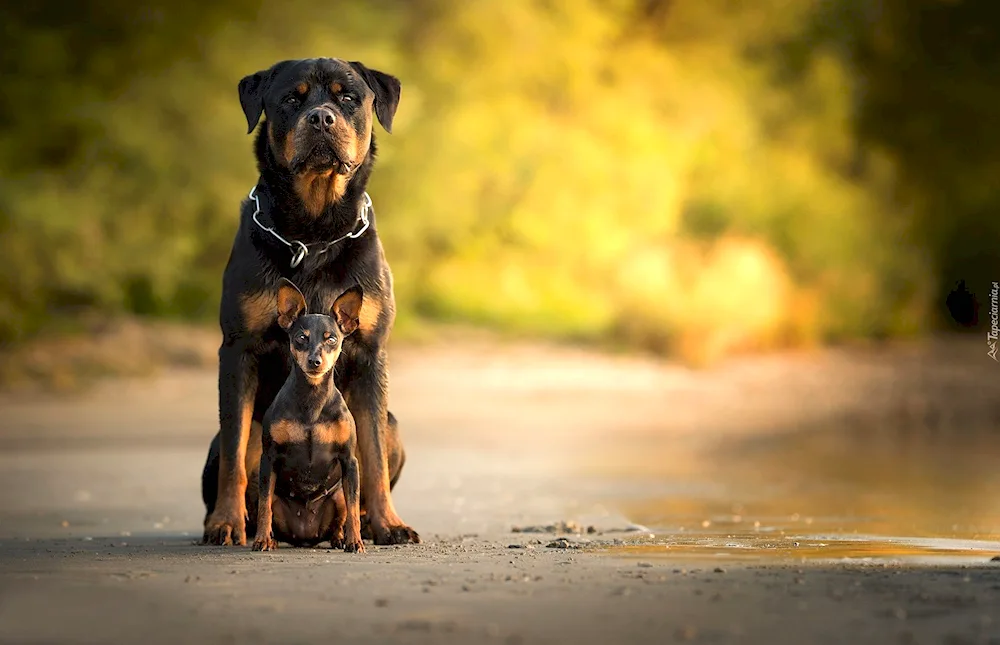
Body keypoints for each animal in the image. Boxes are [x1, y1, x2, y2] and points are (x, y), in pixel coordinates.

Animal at [254, 278, 368, 552]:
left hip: (337, 496)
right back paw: (272, 538)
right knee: (269, 507)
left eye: (332, 339)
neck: (312, 400)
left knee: (343, 513)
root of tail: (305, 537)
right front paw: (261, 540)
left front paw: (355, 542)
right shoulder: (268, 459)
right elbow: (264, 506)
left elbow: (354, 508)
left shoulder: (350, 461)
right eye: (301, 338)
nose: (315, 361)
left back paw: (339, 539)